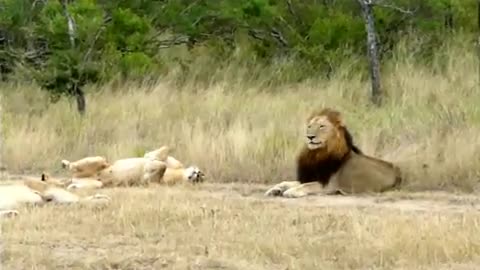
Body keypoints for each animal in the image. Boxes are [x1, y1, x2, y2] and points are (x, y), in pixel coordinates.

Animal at [264, 107, 404, 198]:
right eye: (309, 126)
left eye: (322, 126)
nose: (310, 137)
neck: (316, 154)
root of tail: (398, 171)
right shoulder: (311, 176)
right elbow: (287, 182)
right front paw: (274, 189)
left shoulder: (329, 185)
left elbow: (307, 185)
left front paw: (290, 191)